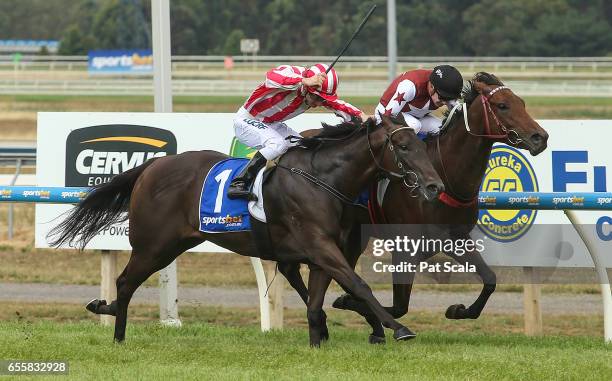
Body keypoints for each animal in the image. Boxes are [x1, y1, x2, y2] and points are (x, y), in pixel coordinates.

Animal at [45, 114, 442, 346]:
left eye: (423, 145)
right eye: (403, 146)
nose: (434, 186)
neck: (323, 179)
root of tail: (152, 167)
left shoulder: (323, 252)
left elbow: (318, 302)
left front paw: (320, 339)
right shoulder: (320, 245)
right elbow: (358, 284)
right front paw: (397, 328)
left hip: (171, 245)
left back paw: (107, 312)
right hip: (153, 245)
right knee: (126, 281)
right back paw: (118, 333)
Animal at [326, 71, 548, 342]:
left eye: (522, 103)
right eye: (502, 105)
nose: (540, 138)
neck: (446, 176)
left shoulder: (455, 238)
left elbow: (490, 279)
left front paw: (458, 310)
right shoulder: (405, 247)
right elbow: (399, 306)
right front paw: (348, 303)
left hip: (357, 234)